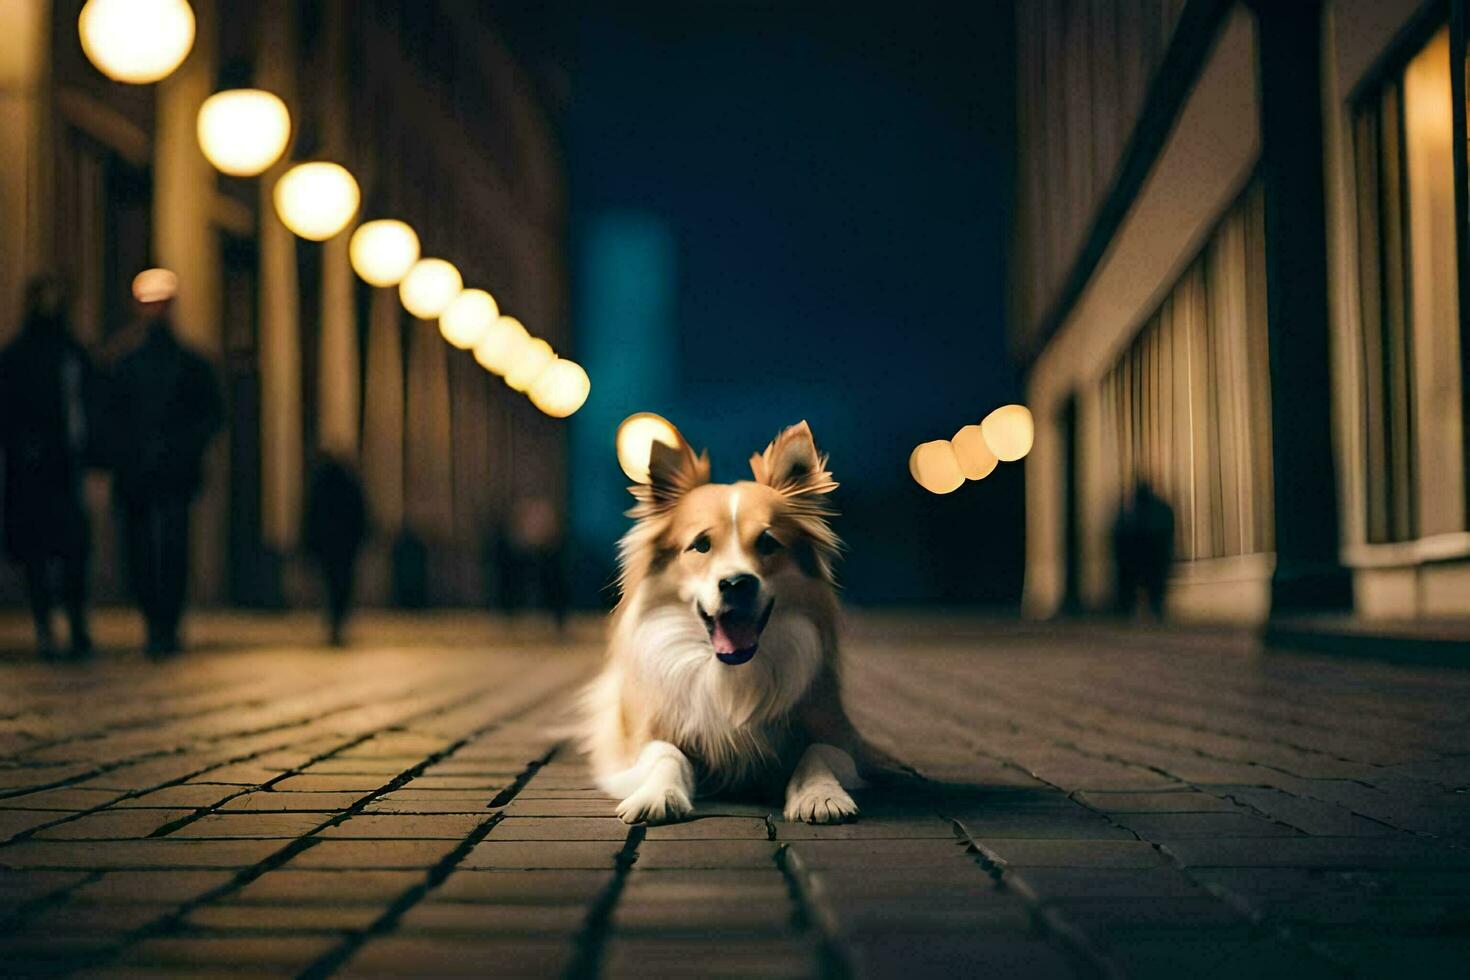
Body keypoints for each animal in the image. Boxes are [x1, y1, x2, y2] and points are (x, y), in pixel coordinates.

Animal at [579, 417, 882, 822]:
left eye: (768, 543)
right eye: (701, 545)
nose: (737, 583)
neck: (731, 671)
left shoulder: (841, 733)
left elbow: (817, 752)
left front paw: (821, 795)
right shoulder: (638, 744)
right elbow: (665, 753)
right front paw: (658, 793)